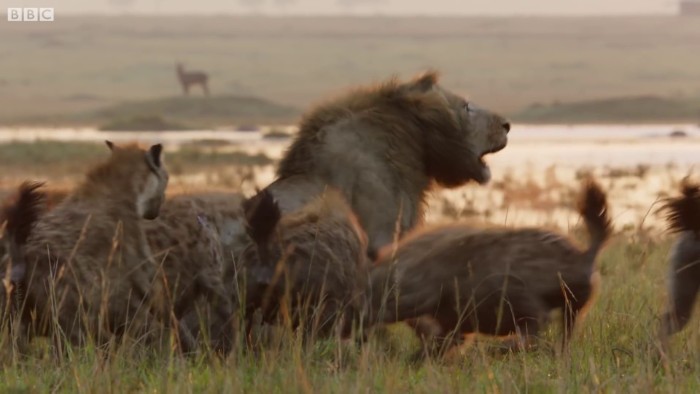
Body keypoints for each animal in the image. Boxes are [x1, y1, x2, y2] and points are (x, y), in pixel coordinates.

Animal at [366, 179, 612, 354]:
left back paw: (507, 348)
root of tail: (585, 255)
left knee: (537, 331)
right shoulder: (454, 323)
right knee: (563, 334)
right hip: (572, 307)